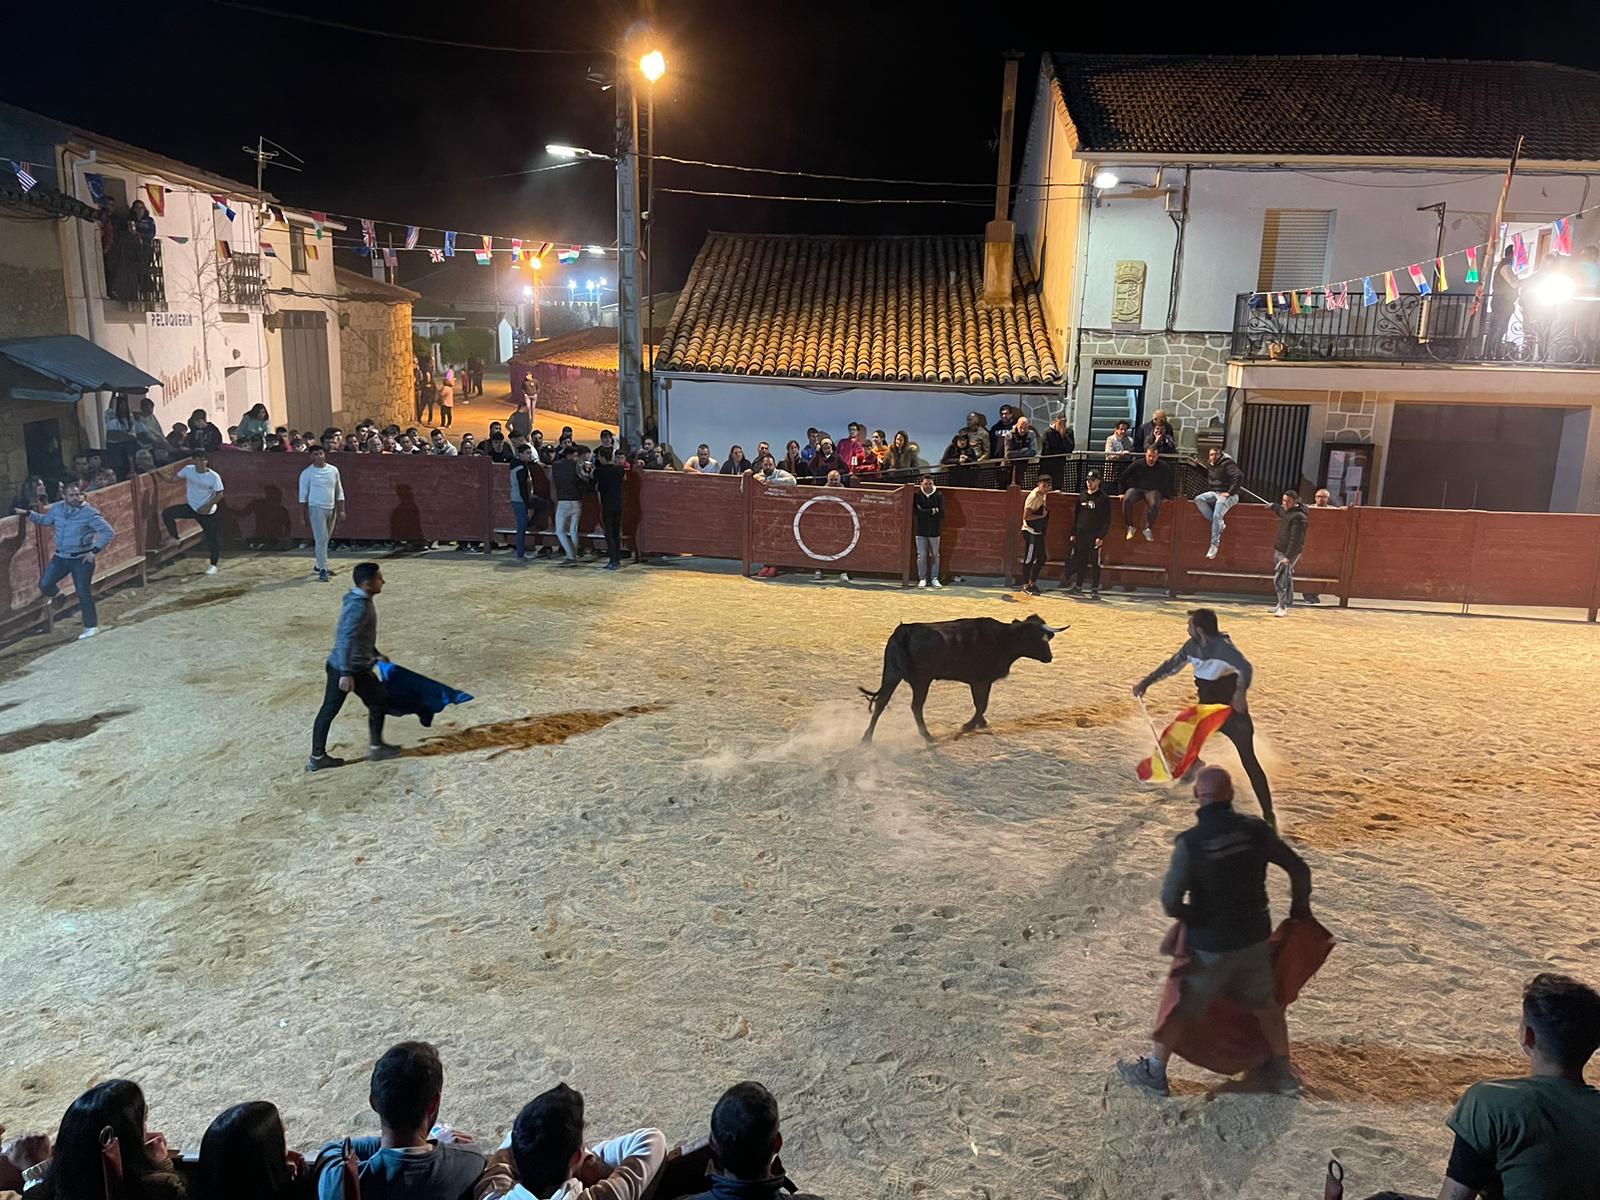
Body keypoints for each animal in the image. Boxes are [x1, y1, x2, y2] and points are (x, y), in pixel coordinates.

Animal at [857, 620, 1068, 742]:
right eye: (1040, 638)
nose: (1049, 657)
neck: (1003, 638)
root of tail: (904, 632)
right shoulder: (981, 681)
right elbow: (981, 704)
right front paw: (969, 725)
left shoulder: (980, 682)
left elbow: (980, 705)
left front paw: (980, 723)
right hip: (921, 681)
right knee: (915, 706)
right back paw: (927, 736)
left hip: (892, 674)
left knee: (881, 703)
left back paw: (867, 737)